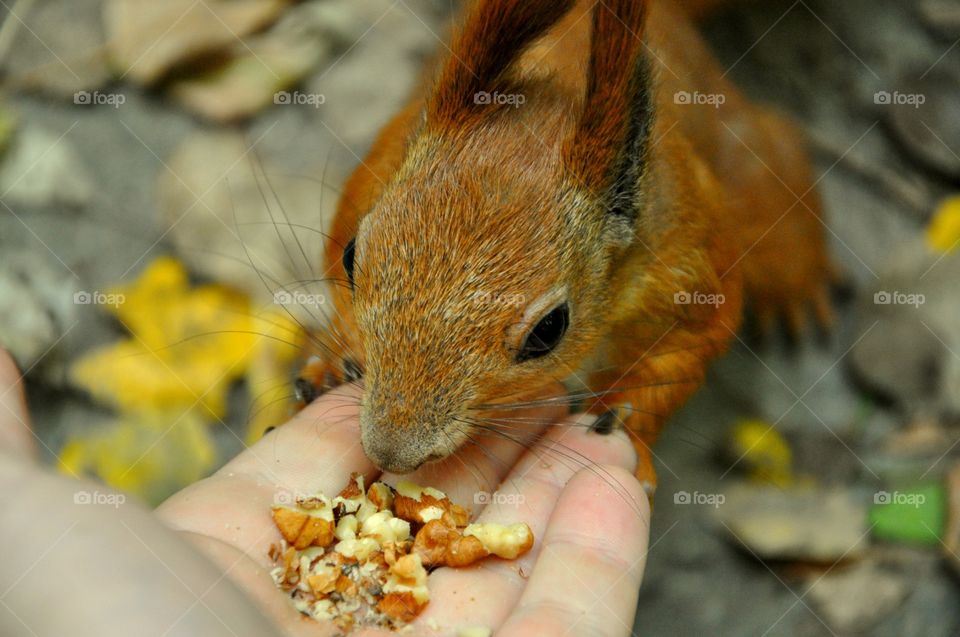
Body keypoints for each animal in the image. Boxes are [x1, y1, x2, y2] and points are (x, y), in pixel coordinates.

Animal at [296, 0, 836, 492]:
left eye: (548, 330)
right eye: (353, 257)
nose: (392, 451)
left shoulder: (686, 266)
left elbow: (686, 350)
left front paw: (623, 420)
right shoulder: (375, 174)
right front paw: (336, 355)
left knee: (770, 147)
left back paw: (797, 283)